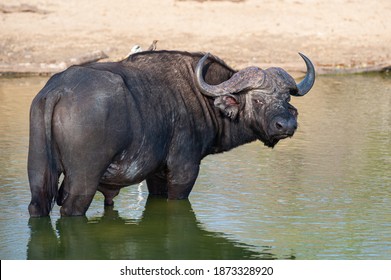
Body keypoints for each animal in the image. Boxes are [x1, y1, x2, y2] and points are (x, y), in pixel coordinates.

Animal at [27, 50, 316, 217]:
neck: (204, 98)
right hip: (83, 180)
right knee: (71, 209)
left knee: (38, 205)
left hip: (39, 172)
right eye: (257, 100)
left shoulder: (156, 174)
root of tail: (59, 90)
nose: (286, 125)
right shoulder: (184, 169)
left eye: (286, 97)